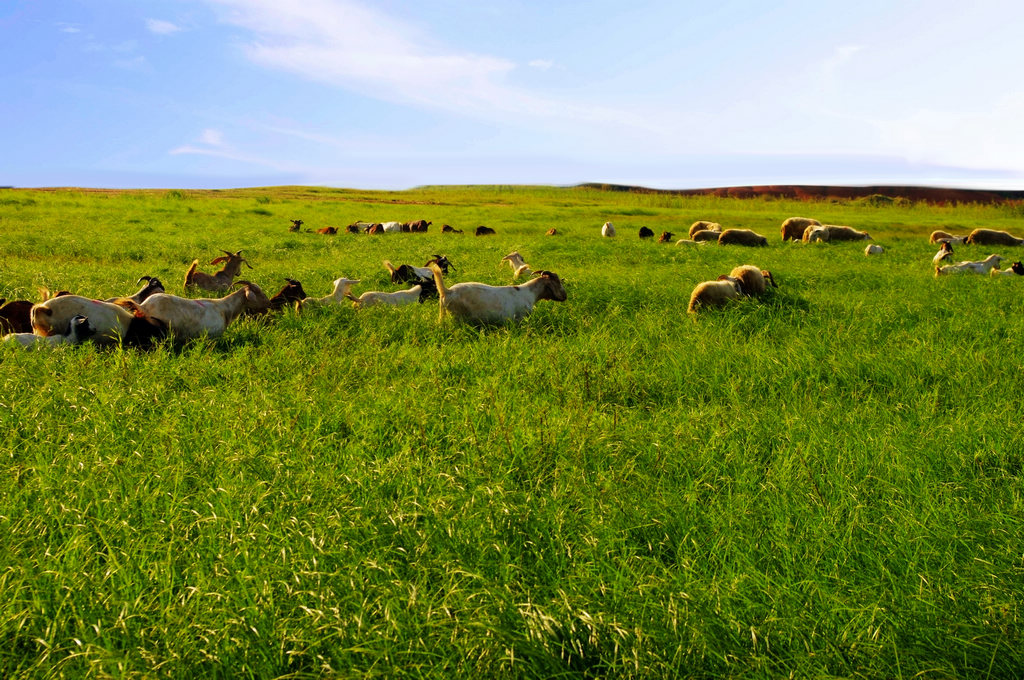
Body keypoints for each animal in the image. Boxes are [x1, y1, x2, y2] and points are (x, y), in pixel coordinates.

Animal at [425, 260, 569, 323]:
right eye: (557, 282)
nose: (565, 296)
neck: (530, 293)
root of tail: (447, 291)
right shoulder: (519, 319)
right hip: (457, 317)